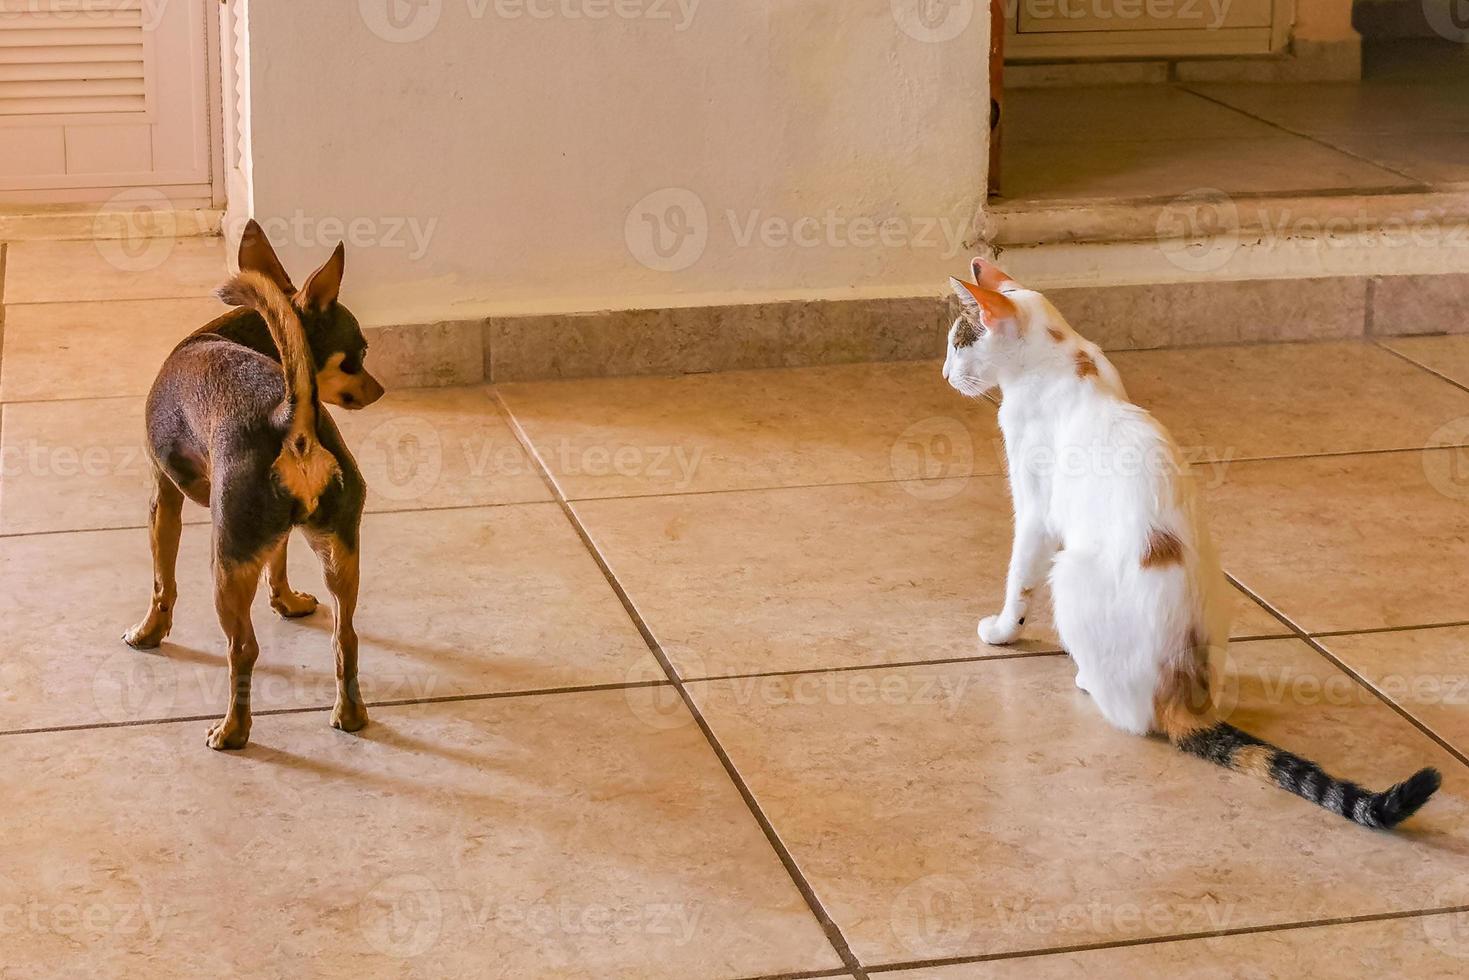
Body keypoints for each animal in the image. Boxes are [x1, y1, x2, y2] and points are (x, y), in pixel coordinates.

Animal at [123, 221, 384, 746]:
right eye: (360, 355)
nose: (380, 388)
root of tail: (292, 420)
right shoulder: (278, 537)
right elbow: (277, 563)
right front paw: (287, 602)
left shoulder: (163, 496)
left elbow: (163, 581)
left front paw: (149, 632)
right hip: (339, 549)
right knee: (345, 635)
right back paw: (349, 713)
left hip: (226, 560)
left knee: (242, 648)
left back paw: (232, 730)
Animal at [946, 258, 1439, 828]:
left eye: (958, 343)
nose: (944, 374)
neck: (1065, 357)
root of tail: (1183, 689)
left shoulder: (1034, 511)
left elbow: (1017, 578)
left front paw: (1003, 630)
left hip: (1068, 572)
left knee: (1132, 717)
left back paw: (1088, 680)